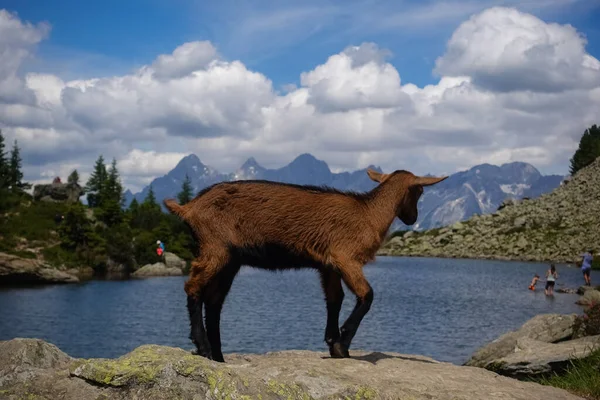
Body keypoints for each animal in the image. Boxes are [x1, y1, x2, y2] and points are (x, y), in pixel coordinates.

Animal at [163, 167, 446, 360]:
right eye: (419, 191)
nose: (412, 219)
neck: (368, 213)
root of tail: (189, 208)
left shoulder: (328, 265)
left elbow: (335, 299)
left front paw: (333, 342)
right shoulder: (345, 257)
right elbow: (367, 295)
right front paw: (343, 344)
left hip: (230, 259)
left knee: (214, 302)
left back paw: (218, 357)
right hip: (215, 247)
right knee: (193, 288)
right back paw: (203, 347)